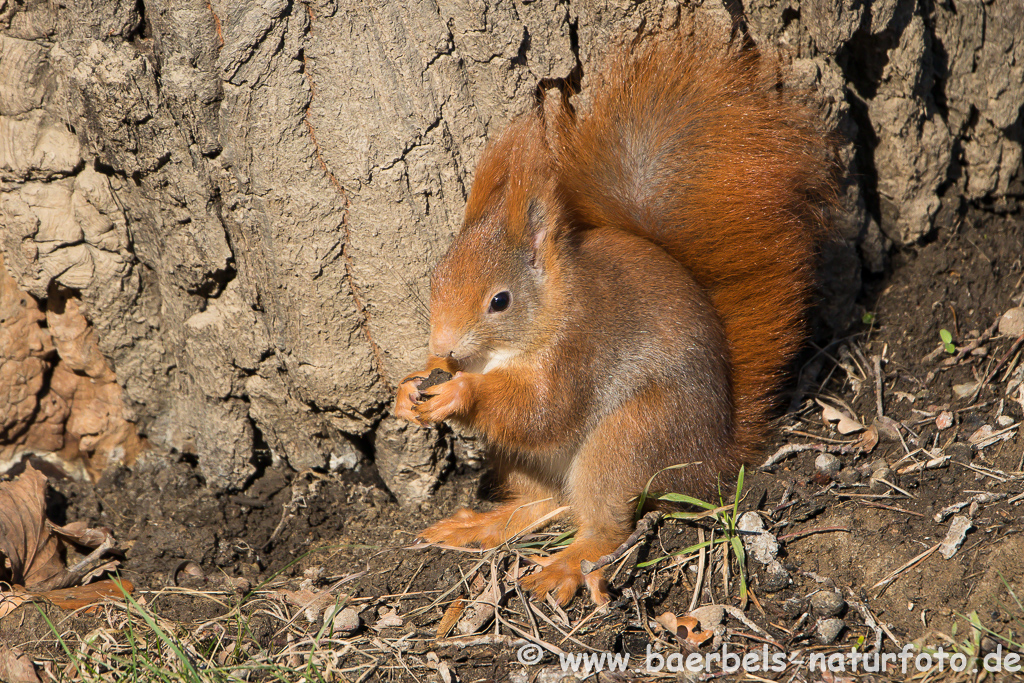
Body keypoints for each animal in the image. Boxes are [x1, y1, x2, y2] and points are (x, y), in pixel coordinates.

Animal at [395, 34, 835, 606]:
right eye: (436, 277)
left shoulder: (581, 348)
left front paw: (459, 393)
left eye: (500, 301)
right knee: (541, 503)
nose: (444, 345)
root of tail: (714, 453)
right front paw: (410, 387)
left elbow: (543, 411)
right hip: (526, 461)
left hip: (629, 439)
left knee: (604, 520)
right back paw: (483, 525)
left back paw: (566, 565)